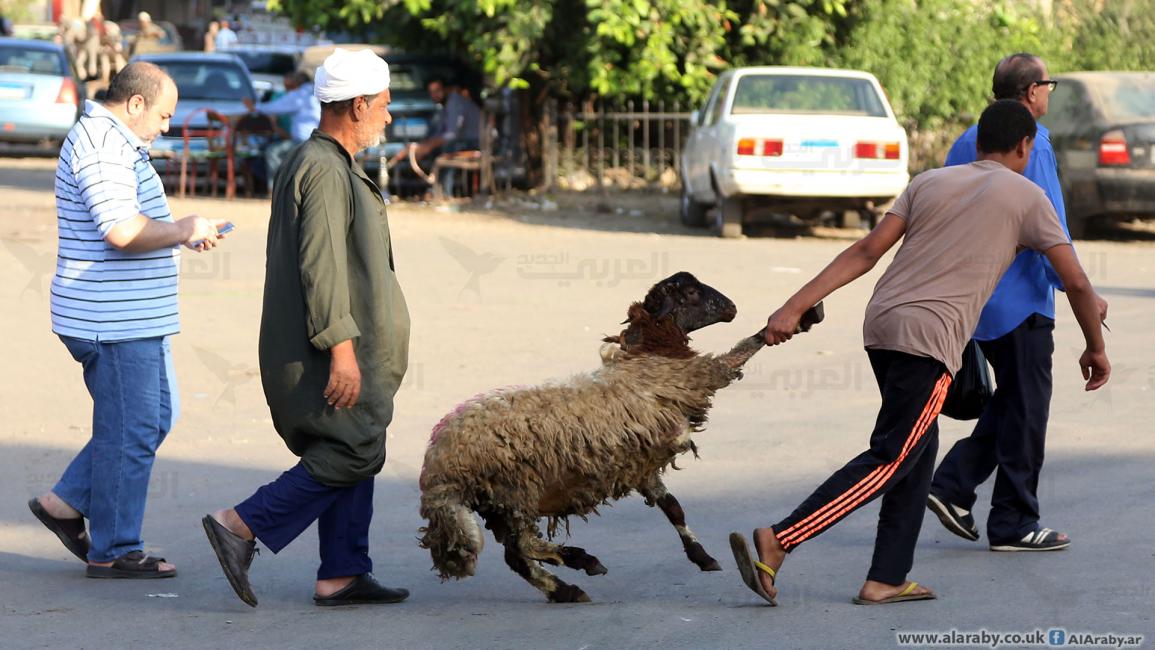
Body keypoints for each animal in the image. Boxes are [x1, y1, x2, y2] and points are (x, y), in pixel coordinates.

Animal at [420, 272, 826, 604]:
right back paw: (581, 561)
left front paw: (703, 557)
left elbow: (673, 507)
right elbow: (742, 350)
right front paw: (802, 319)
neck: (650, 355)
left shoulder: (642, 462)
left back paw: (566, 589)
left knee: (517, 557)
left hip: (497, 503)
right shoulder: (701, 379)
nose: (732, 307)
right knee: (524, 547)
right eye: (691, 291)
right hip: (515, 491)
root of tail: (437, 468)